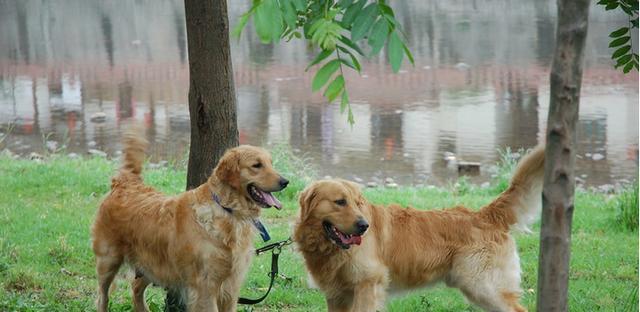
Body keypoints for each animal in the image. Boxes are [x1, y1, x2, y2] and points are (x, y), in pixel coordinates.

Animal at [91, 127, 288, 312]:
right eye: (257, 165)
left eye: (271, 163)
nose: (285, 181)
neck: (228, 212)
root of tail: (125, 183)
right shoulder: (205, 287)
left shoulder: (231, 287)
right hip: (108, 261)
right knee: (102, 296)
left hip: (151, 264)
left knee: (136, 287)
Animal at [292, 147, 544, 312]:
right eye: (340, 202)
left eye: (358, 203)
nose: (364, 226)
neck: (330, 249)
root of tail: (485, 215)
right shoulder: (336, 295)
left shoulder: (368, 284)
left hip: (484, 286)